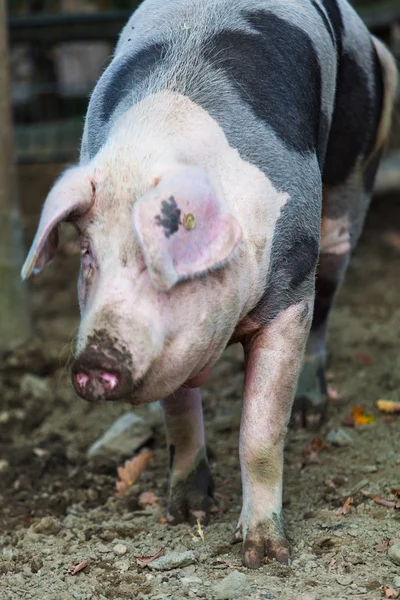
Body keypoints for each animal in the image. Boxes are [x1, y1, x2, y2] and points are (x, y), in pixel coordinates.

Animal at [22, 0, 396, 568]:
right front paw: (185, 512)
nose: (94, 362)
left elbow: (260, 432)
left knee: (328, 300)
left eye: (168, 261)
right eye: (88, 254)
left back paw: (312, 413)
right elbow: (178, 416)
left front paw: (266, 556)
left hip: (349, 186)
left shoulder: (289, 294)